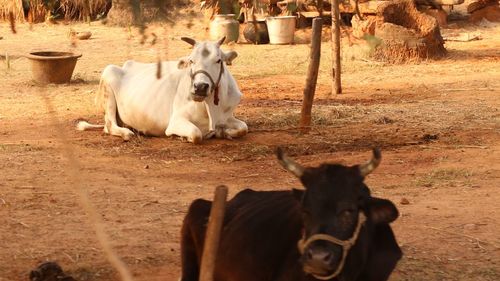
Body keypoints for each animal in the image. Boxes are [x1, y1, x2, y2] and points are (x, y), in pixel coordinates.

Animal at [77, 36, 247, 143]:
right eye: (191, 61)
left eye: (218, 60)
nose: (200, 87)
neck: (212, 106)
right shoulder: (176, 120)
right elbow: (196, 134)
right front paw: (182, 137)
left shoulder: (227, 116)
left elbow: (243, 128)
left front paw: (223, 133)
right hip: (108, 84)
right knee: (109, 125)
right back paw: (127, 133)